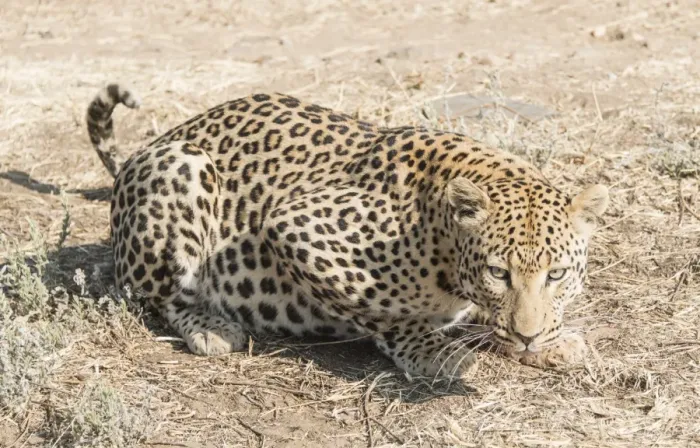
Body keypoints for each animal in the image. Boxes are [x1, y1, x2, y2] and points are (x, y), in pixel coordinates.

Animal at [86, 83, 609, 378]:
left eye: (557, 274)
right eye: (498, 273)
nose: (528, 337)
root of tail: (148, 146)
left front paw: (550, 339)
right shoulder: (295, 226)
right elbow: (381, 311)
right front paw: (434, 351)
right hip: (183, 167)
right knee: (160, 294)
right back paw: (211, 327)